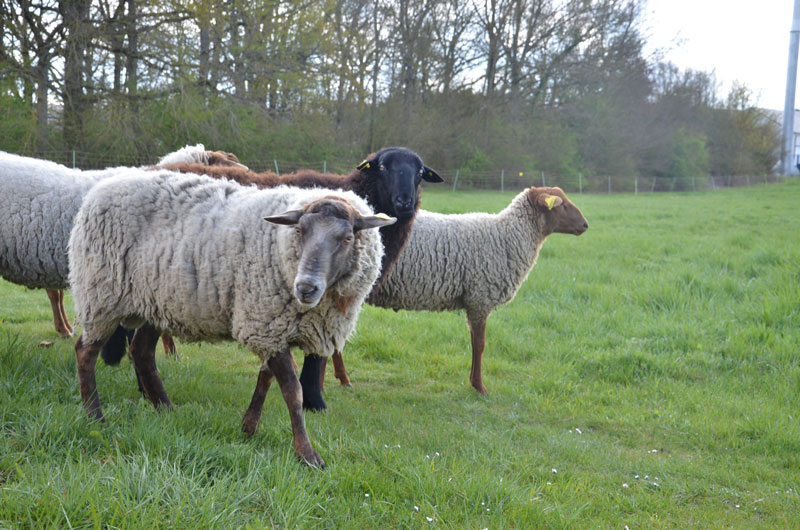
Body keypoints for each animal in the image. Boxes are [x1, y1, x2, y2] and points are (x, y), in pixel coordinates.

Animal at [69, 171, 394, 464]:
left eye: (347, 238)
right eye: (300, 231)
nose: (305, 287)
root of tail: (100, 189)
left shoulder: (269, 325)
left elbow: (266, 379)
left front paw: (249, 428)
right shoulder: (265, 321)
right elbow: (293, 391)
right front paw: (306, 453)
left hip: (155, 303)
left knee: (141, 352)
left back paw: (166, 409)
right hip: (101, 295)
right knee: (85, 352)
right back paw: (95, 417)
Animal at [324, 185, 588, 392]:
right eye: (562, 205)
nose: (585, 225)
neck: (507, 236)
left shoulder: (474, 301)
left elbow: (474, 342)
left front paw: (473, 381)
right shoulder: (480, 298)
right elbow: (480, 344)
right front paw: (479, 386)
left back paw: (342, 377)